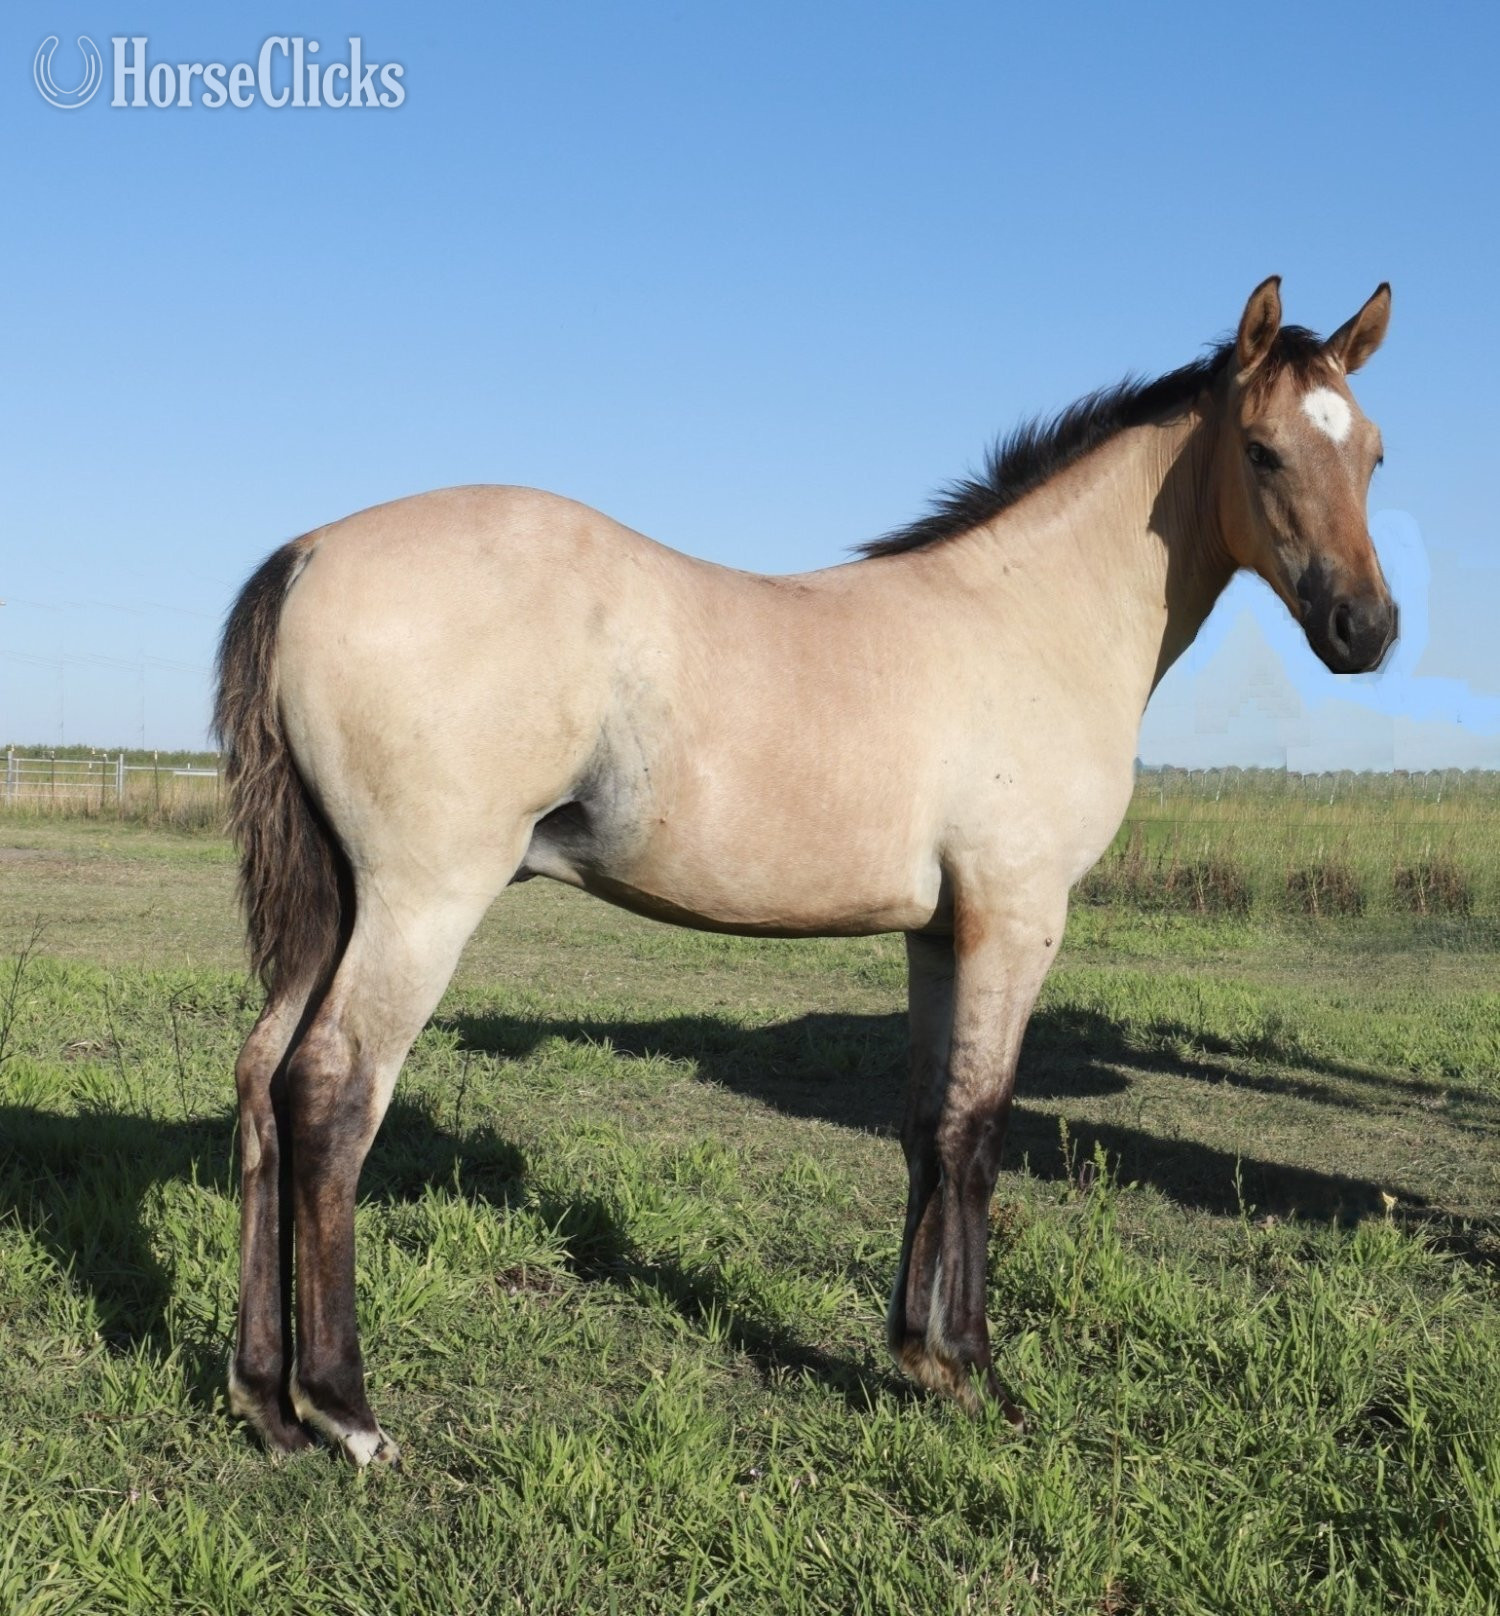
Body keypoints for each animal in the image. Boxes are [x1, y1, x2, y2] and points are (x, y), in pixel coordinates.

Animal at [216, 277, 1396, 1465]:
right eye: (1262, 451)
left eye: (1374, 454)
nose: (1367, 628)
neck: (1028, 620)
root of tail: (309, 552)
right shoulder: (1018, 917)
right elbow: (980, 1131)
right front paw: (981, 1375)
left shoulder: (942, 931)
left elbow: (929, 1126)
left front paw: (920, 1357)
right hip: (421, 903)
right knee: (333, 1092)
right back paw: (347, 1410)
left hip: (338, 907)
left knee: (264, 1081)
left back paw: (266, 1400)